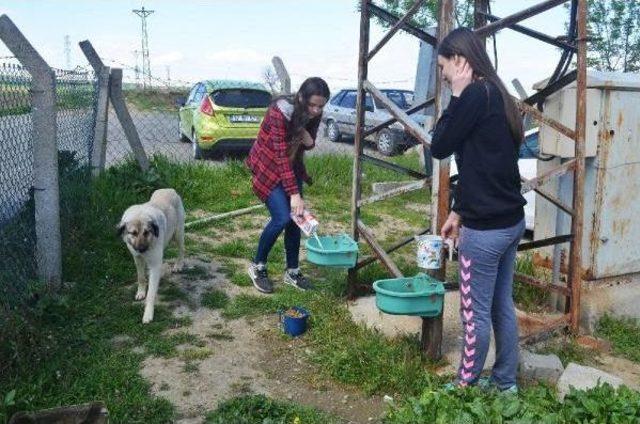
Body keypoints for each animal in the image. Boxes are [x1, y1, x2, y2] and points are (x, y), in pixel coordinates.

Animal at [118, 187, 185, 322]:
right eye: (133, 233)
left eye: (146, 232)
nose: (141, 249)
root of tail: (170, 189)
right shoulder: (137, 259)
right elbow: (141, 278)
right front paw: (141, 292)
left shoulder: (155, 265)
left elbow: (151, 293)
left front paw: (148, 314)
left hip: (178, 235)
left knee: (182, 249)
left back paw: (178, 265)